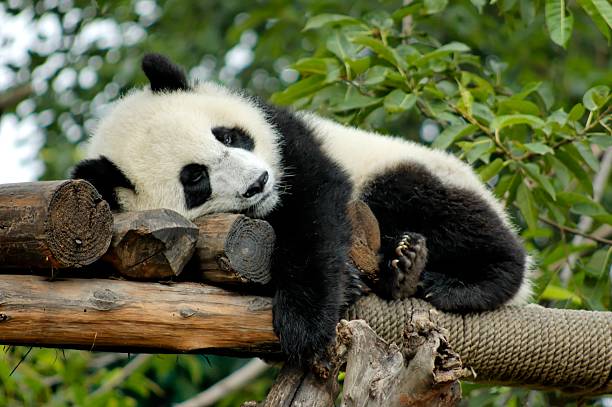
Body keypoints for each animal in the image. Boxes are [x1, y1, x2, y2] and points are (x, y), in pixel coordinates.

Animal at [70, 53, 532, 364]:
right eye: (195, 178)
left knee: (432, 204)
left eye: (228, 136)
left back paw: (456, 279)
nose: (259, 183)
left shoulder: (288, 140)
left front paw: (304, 322)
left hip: (412, 171)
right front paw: (343, 288)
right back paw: (401, 271)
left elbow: (315, 211)